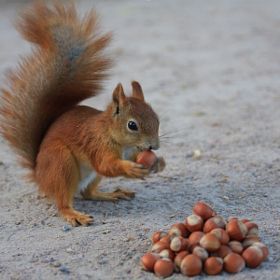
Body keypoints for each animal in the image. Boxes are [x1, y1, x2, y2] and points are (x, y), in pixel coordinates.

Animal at [0, 1, 165, 226]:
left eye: (157, 119)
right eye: (132, 125)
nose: (154, 146)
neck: (112, 135)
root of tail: (40, 177)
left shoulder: (130, 151)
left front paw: (158, 163)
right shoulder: (97, 144)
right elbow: (106, 164)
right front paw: (131, 169)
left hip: (90, 175)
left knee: (87, 193)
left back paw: (110, 194)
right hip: (61, 163)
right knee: (62, 202)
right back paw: (73, 214)